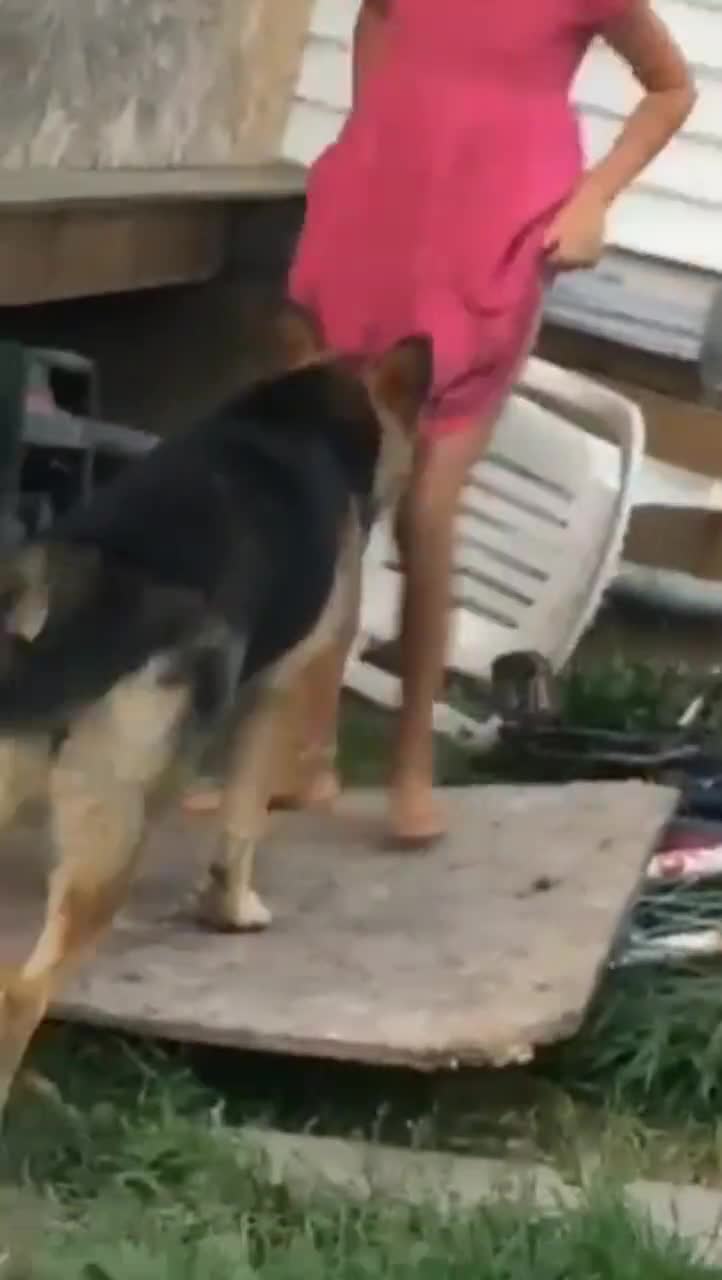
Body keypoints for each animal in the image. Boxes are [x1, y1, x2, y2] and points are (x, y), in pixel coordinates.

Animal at [0, 304, 432, 1114]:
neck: (304, 415)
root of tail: (82, 586)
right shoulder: (278, 694)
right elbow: (241, 824)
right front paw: (234, 910)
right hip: (119, 828)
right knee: (21, 993)